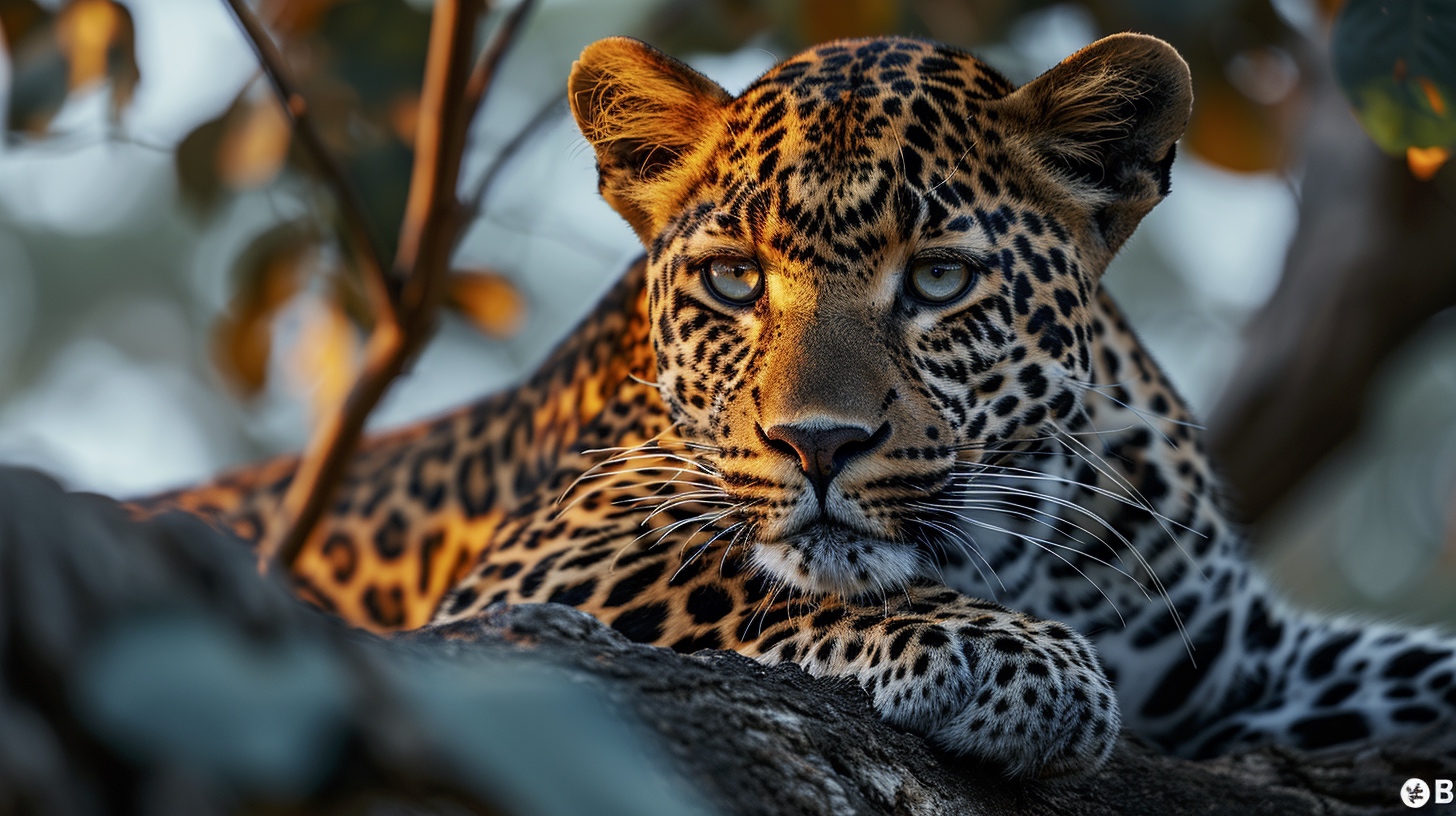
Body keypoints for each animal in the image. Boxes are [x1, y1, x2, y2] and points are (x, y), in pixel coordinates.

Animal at [138, 32, 1456, 778]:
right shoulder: (542, 566)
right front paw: (1014, 666)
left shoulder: (1238, 663)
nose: (818, 445)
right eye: (733, 279)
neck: (1012, 545)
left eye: (939, 281)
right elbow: (744, 568)